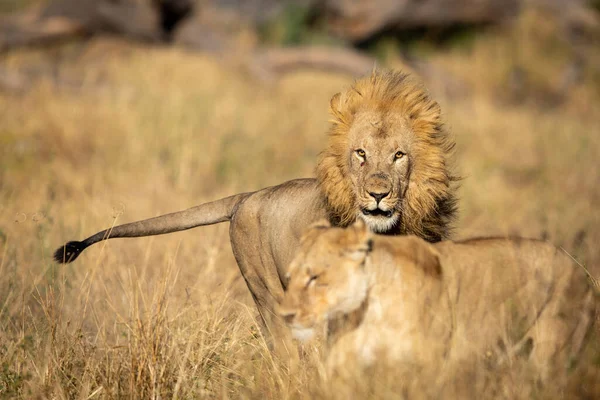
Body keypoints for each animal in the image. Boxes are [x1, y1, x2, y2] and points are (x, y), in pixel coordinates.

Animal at [54, 70, 458, 358]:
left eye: (398, 155)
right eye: (360, 153)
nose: (378, 194)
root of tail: (247, 196)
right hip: (266, 289)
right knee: (284, 347)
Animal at [280, 220, 596, 382]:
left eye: (314, 277)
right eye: (289, 276)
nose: (285, 315)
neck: (369, 312)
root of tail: (581, 269)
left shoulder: (429, 367)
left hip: (553, 353)